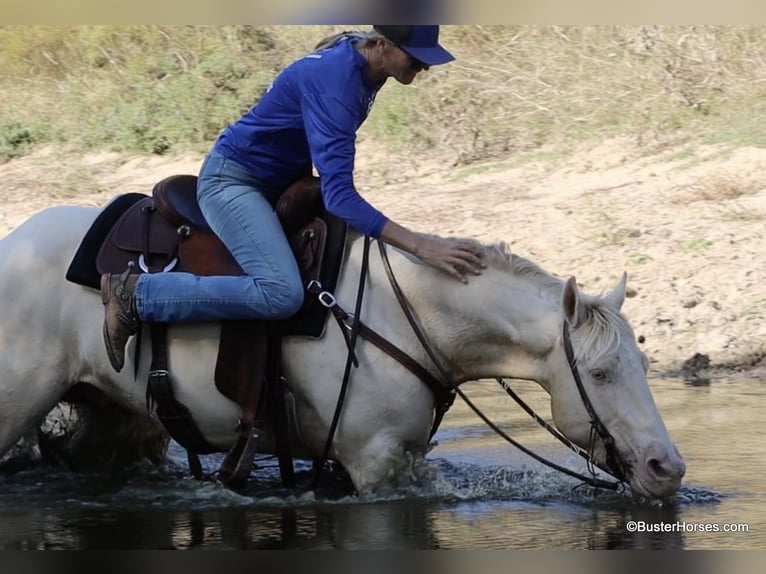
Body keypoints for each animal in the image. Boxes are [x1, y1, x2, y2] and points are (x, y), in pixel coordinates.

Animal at [0, 203, 685, 499]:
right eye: (600, 373)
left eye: (645, 365)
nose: (667, 468)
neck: (407, 312)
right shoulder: (372, 463)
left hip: (114, 422)